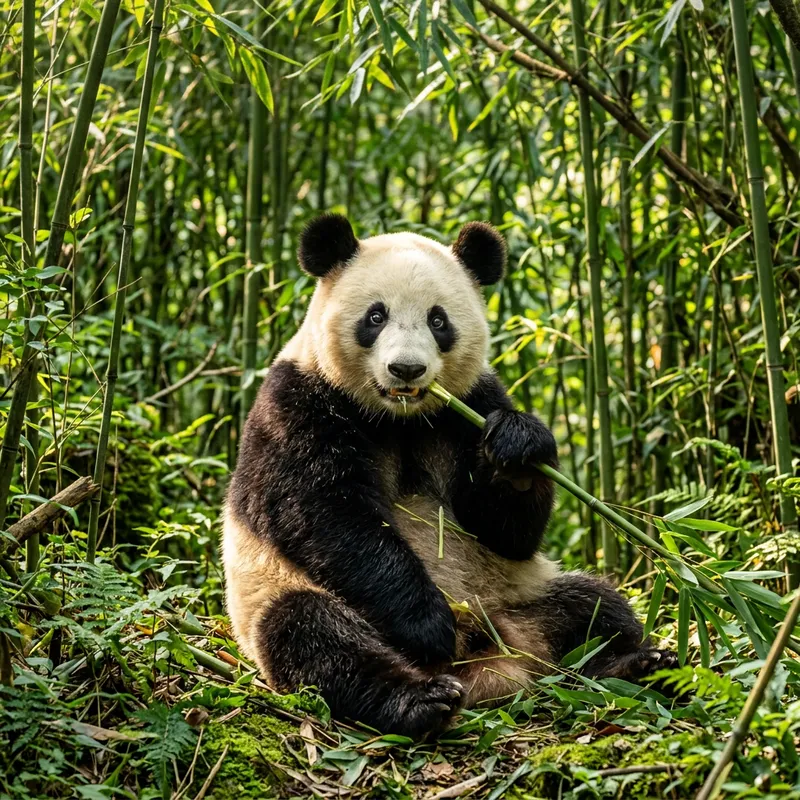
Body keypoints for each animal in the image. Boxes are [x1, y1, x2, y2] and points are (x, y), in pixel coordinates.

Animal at [222, 214, 677, 737]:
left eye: (438, 321)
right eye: (375, 317)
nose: (407, 369)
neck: (397, 418)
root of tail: (496, 662)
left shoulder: (471, 405)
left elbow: (505, 530)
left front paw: (517, 448)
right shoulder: (298, 404)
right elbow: (323, 514)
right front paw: (429, 625)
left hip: (521, 591)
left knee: (598, 606)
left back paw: (635, 664)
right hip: (278, 593)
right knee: (313, 635)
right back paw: (420, 699)